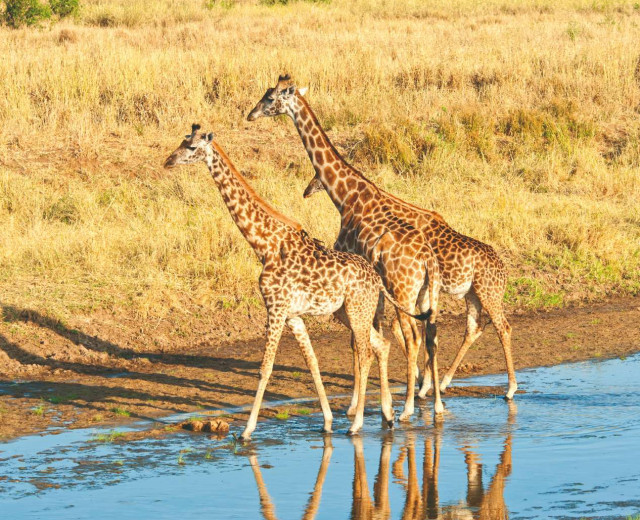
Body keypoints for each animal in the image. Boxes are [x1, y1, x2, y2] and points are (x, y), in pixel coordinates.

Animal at [164, 124, 430, 436]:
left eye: (192, 148)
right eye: (182, 141)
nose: (168, 161)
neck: (264, 244)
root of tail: (376, 278)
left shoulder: (276, 308)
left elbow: (265, 367)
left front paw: (247, 431)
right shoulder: (293, 315)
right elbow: (312, 361)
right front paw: (327, 421)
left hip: (356, 310)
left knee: (366, 352)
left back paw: (358, 423)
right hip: (347, 312)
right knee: (381, 345)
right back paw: (387, 415)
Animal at [248, 75, 516, 402]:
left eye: (270, 98)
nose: (251, 114)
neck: (348, 196)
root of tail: (502, 266)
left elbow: (362, 338)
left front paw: (366, 395)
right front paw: (414, 382)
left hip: (458, 292)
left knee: (491, 327)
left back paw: (503, 388)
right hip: (462, 294)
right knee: (458, 329)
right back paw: (437, 386)